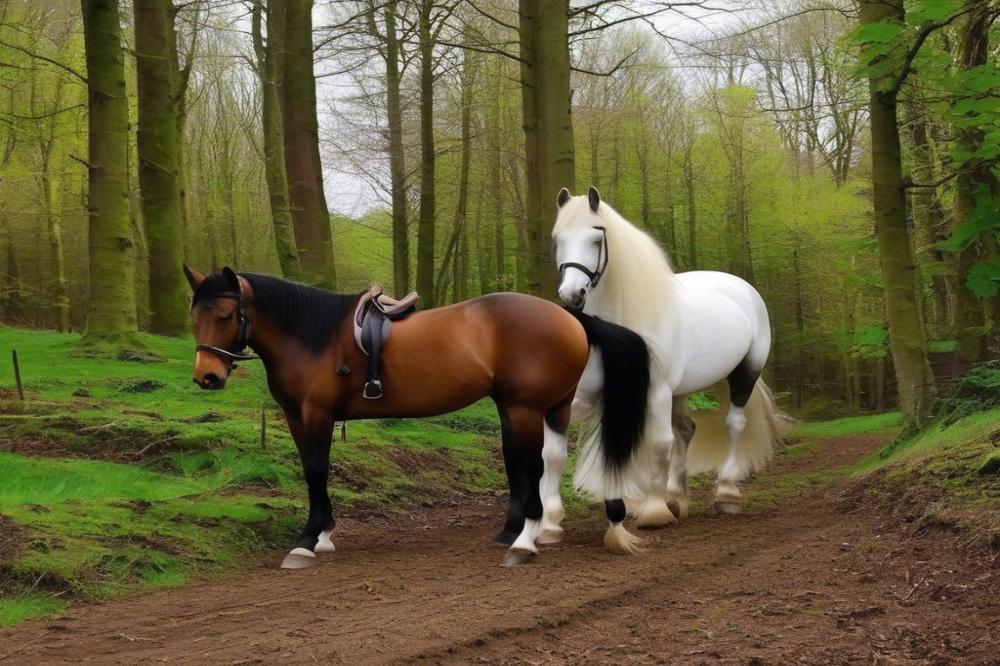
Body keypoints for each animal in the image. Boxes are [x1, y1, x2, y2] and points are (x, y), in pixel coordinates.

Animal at [184, 266, 652, 564]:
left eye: (225, 314)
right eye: (195, 315)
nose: (206, 377)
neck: (313, 338)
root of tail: (567, 316)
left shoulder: (316, 415)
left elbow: (316, 471)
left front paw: (308, 540)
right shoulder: (298, 418)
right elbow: (311, 471)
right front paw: (323, 534)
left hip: (527, 407)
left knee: (533, 465)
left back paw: (524, 541)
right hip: (542, 406)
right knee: (524, 462)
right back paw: (512, 531)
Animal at [540, 185, 788, 544]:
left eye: (597, 238)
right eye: (558, 238)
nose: (572, 295)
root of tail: (742, 288)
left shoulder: (655, 391)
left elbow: (657, 445)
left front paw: (654, 513)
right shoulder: (585, 397)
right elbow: (554, 453)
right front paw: (548, 523)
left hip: (744, 374)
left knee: (733, 425)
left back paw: (725, 493)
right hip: (680, 390)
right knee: (687, 429)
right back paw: (677, 497)